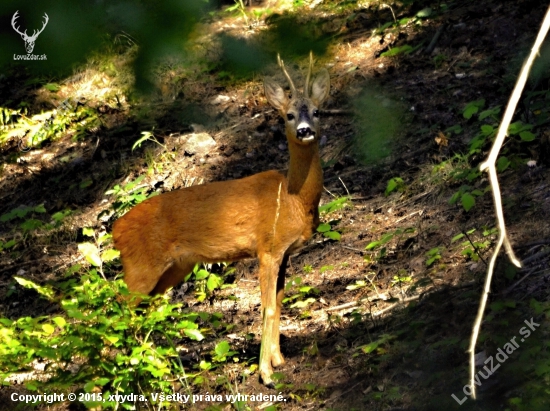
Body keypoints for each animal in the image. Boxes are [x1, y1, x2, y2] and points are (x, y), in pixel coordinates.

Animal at [111, 53, 328, 388]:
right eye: (289, 115)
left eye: (317, 111)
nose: (305, 130)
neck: (293, 198)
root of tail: (115, 230)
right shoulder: (267, 248)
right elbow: (266, 307)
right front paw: (266, 374)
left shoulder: (285, 253)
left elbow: (279, 303)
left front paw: (279, 360)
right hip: (140, 267)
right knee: (116, 310)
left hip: (172, 269)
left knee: (143, 312)